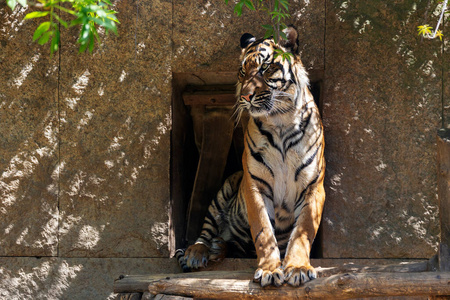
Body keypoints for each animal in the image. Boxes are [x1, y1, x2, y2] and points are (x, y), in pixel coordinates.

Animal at [174, 26, 326, 288]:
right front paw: (269, 271)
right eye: (243, 71)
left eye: (266, 68)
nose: (245, 96)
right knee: (206, 231)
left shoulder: (314, 186)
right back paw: (198, 252)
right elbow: (263, 231)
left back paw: (218, 248)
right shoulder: (255, 184)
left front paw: (297, 268)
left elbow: (303, 231)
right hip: (226, 188)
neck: (281, 122)